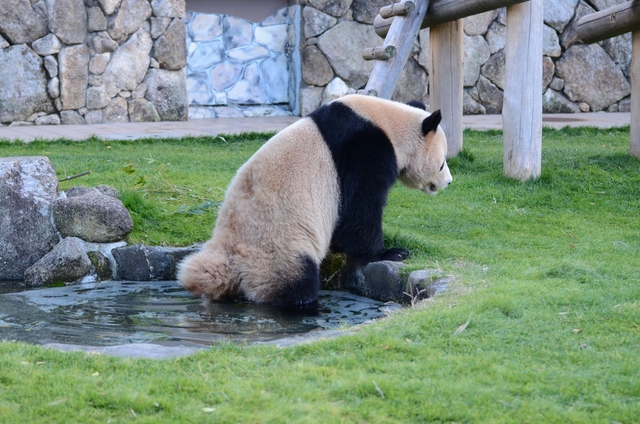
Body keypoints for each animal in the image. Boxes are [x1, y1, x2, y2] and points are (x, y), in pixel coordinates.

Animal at [178, 94, 452, 308]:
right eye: (442, 162)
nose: (448, 182)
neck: (389, 124)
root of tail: (229, 261)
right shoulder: (366, 149)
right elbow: (359, 207)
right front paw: (390, 252)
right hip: (276, 250)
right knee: (293, 281)